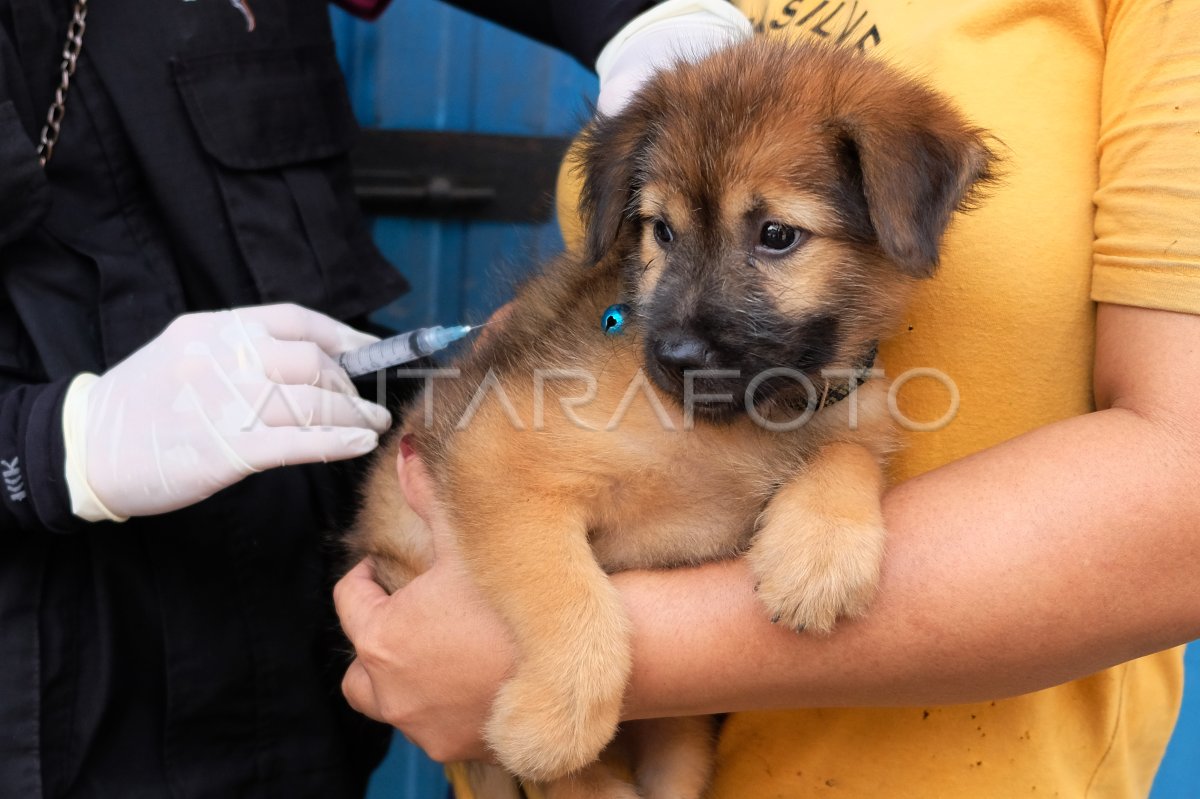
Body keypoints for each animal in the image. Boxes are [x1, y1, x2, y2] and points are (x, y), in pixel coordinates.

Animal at [348, 35, 993, 796]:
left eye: (777, 234)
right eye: (661, 230)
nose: (675, 355)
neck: (737, 425)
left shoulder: (852, 408)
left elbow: (850, 450)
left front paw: (820, 553)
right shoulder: (496, 457)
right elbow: (570, 593)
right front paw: (556, 720)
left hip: (682, 738)